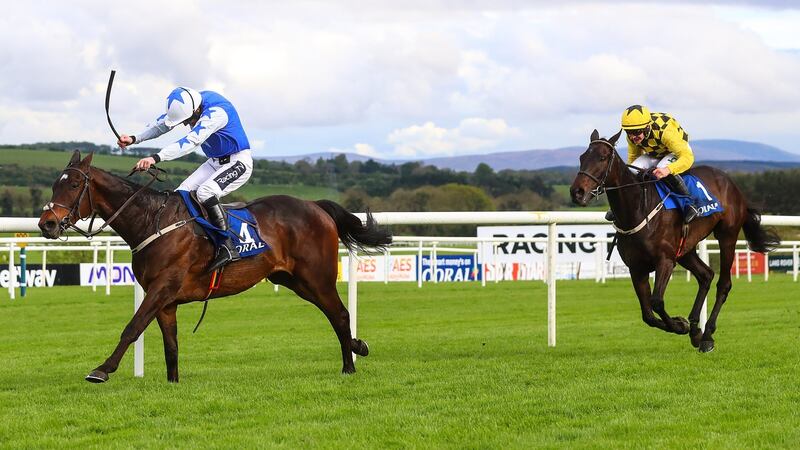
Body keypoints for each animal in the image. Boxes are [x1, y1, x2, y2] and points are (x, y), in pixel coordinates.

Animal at [37, 151, 394, 384]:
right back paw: (357, 347)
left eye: (72, 186)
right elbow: (171, 345)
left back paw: (349, 366)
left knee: (340, 315)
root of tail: (315, 206)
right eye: (55, 184)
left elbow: (132, 327)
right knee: (335, 315)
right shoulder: (165, 300)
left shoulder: (161, 288)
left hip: (317, 278)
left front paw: (102, 369)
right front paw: (173, 382)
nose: (47, 224)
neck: (152, 221)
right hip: (294, 280)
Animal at [568, 130, 780, 352]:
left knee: (723, 284)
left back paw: (707, 335)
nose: (577, 192)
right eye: (582, 157)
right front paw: (684, 325)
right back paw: (696, 330)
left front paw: (680, 325)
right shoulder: (637, 267)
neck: (638, 209)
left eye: (602, 157)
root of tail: (731, 183)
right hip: (685, 249)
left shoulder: (665, 261)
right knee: (706, 275)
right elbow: (648, 315)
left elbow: (657, 302)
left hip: (727, 236)